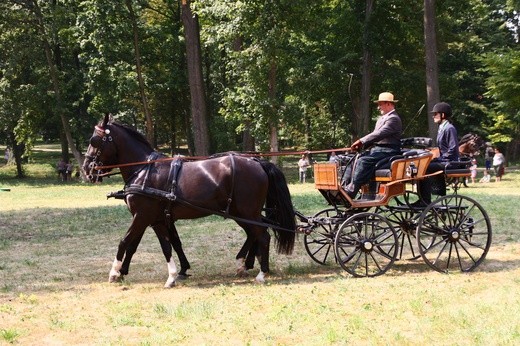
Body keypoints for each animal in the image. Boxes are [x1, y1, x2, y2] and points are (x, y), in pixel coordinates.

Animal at [82, 113, 296, 286]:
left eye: (95, 141)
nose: (86, 169)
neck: (144, 170)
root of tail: (258, 162)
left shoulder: (142, 216)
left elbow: (125, 241)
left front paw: (114, 273)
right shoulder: (156, 219)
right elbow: (166, 246)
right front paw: (172, 276)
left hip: (247, 212)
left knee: (263, 236)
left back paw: (261, 273)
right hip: (240, 213)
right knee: (255, 234)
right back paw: (245, 264)